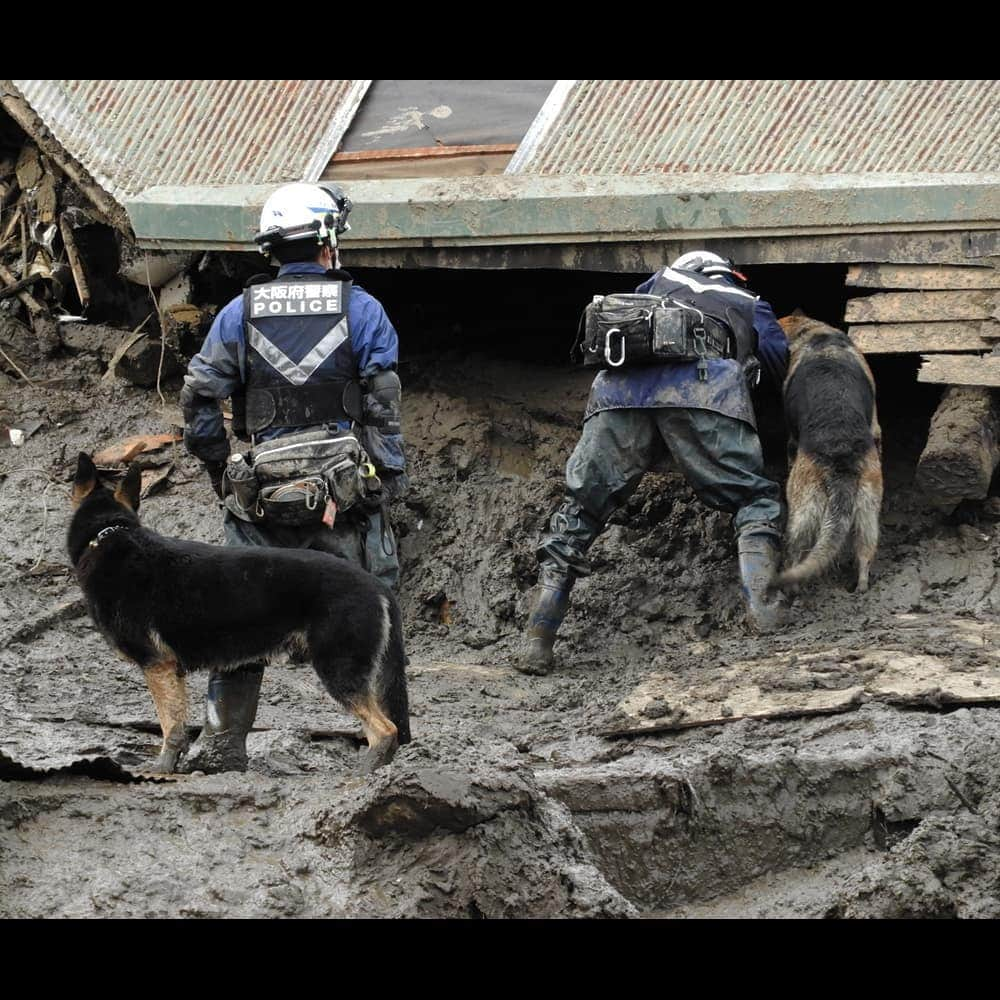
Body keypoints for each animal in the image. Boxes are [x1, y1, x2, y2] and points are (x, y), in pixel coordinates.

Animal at [68, 454, 410, 772]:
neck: (107, 534)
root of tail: (376, 585)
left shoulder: (157, 666)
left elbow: (170, 724)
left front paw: (162, 769)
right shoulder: (171, 671)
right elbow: (179, 722)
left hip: (339, 670)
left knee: (384, 730)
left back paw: (363, 772)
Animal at [772, 312, 884, 592]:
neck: (814, 332)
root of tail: (841, 464)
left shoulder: (791, 438)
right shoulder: (876, 425)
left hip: (803, 508)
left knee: (795, 551)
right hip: (868, 507)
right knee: (865, 550)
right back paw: (861, 587)